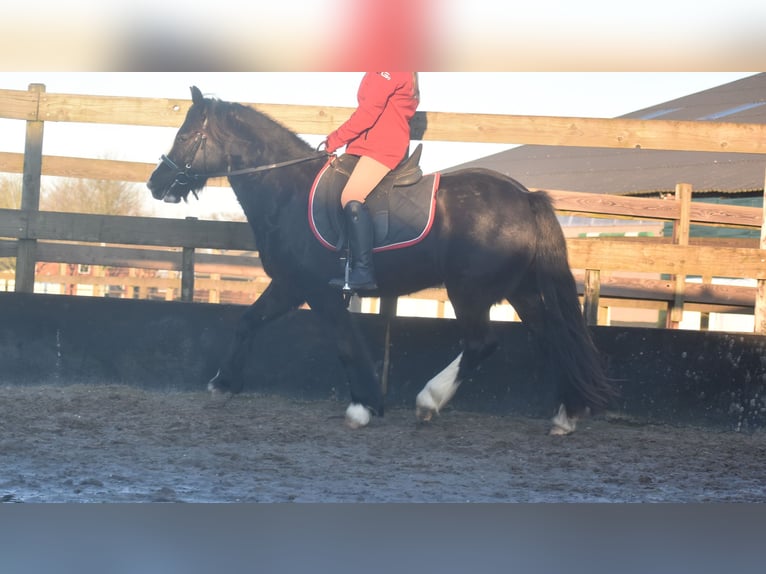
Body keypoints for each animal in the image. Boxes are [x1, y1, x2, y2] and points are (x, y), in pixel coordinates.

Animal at [148, 85, 616, 434]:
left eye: (185, 137)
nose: (157, 183)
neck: (288, 191)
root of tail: (525, 197)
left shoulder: (318, 291)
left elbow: (345, 343)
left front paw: (363, 406)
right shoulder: (290, 285)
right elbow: (249, 321)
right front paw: (223, 383)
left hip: (470, 291)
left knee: (482, 344)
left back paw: (429, 401)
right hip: (521, 291)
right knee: (552, 338)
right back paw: (565, 415)